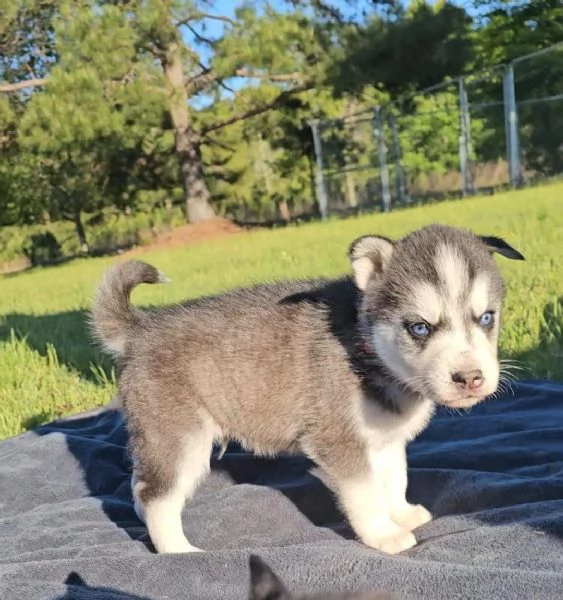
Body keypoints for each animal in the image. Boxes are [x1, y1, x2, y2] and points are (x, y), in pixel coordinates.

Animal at [89, 224, 524, 552]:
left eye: (486, 318)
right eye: (420, 328)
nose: (470, 378)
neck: (366, 347)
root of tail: (140, 329)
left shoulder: (384, 438)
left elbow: (394, 479)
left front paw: (401, 513)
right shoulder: (338, 440)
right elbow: (366, 493)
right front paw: (385, 535)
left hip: (157, 436)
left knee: (141, 481)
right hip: (181, 436)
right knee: (158, 497)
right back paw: (178, 551)